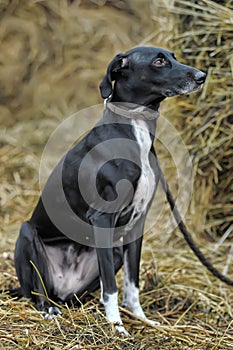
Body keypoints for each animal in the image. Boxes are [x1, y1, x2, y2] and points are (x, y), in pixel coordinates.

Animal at [13, 46, 206, 334]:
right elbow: (112, 288)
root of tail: (62, 287)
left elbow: (132, 283)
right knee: (38, 291)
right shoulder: (103, 218)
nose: (202, 76)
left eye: (173, 56)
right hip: (27, 235)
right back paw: (48, 309)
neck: (135, 131)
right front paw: (116, 326)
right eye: (159, 61)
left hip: (110, 255)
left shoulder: (138, 223)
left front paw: (140, 318)